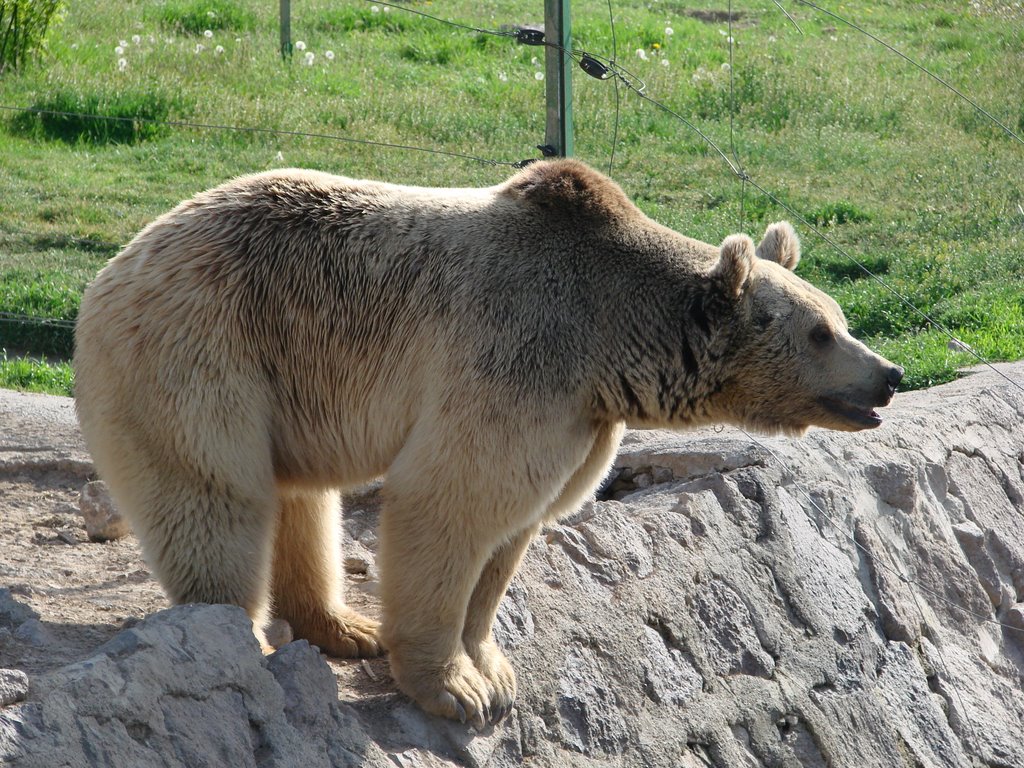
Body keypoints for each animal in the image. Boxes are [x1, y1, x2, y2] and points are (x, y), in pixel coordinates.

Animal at [74, 160, 905, 729]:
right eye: (820, 331)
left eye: (839, 314)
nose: (889, 376)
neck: (610, 336)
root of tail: (115, 267)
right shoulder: (519, 357)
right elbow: (453, 502)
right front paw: (456, 690)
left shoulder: (580, 417)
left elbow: (514, 530)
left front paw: (492, 667)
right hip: (204, 352)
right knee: (216, 498)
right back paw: (242, 636)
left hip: (289, 384)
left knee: (303, 499)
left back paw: (345, 627)